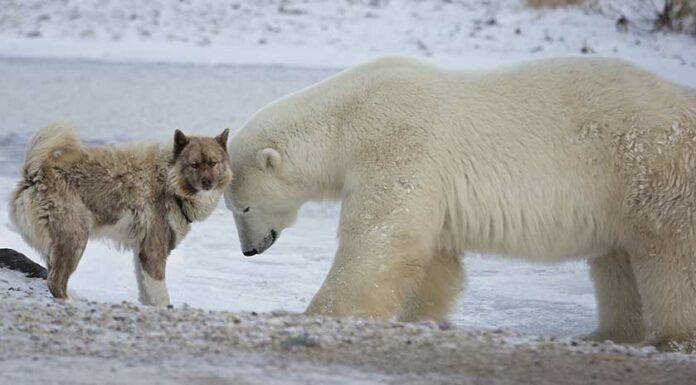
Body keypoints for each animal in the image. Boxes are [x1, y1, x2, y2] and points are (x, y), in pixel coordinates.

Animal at [9, 122, 231, 304]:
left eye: (213, 163)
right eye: (194, 165)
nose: (207, 182)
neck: (168, 180)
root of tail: (36, 174)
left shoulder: (141, 253)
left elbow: (148, 293)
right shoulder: (153, 252)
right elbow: (161, 296)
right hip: (74, 239)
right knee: (55, 282)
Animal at [227, 57, 696, 352]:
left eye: (243, 208)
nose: (249, 251)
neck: (348, 119)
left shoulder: (398, 143)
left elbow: (381, 239)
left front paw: (318, 313)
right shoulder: (431, 182)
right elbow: (435, 258)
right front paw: (419, 318)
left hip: (650, 168)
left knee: (669, 256)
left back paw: (670, 337)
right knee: (617, 262)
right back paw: (605, 334)